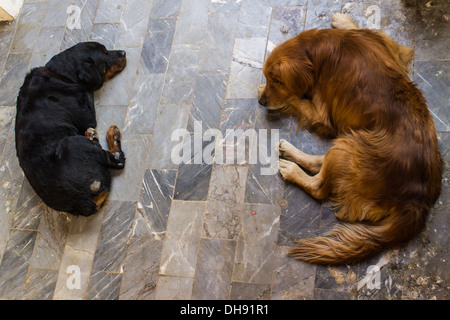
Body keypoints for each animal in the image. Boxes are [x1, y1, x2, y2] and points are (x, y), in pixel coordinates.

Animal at [15, 41, 127, 216]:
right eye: (105, 54)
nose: (123, 53)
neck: (60, 74)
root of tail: (81, 200)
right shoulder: (87, 115)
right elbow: (86, 91)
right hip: (72, 142)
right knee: (117, 160)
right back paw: (109, 135)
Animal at [256, 13, 442, 264]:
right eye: (269, 77)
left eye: (276, 81)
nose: (262, 102)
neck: (318, 50)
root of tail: (418, 203)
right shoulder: (390, 48)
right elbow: (365, 30)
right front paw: (342, 19)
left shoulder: (323, 117)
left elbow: (296, 100)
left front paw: (265, 92)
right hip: (349, 142)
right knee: (320, 164)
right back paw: (289, 151)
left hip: (350, 144)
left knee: (319, 187)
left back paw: (291, 168)